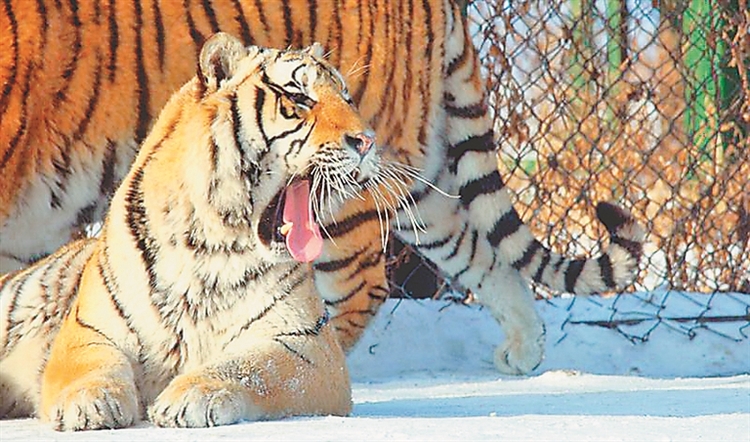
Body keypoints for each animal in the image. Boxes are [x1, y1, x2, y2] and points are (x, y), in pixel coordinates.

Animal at [0, 0, 648, 380]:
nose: (359, 136)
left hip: (345, 200)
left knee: (360, 290)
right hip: (420, 180)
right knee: (483, 254)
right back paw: (524, 350)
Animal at [0, 33, 434, 428]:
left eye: (347, 98)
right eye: (299, 98)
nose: (367, 141)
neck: (210, 243)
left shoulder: (305, 343)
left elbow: (253, 367)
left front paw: (190, 396)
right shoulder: (90, 329)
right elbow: (91, 366)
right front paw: (90, 402)